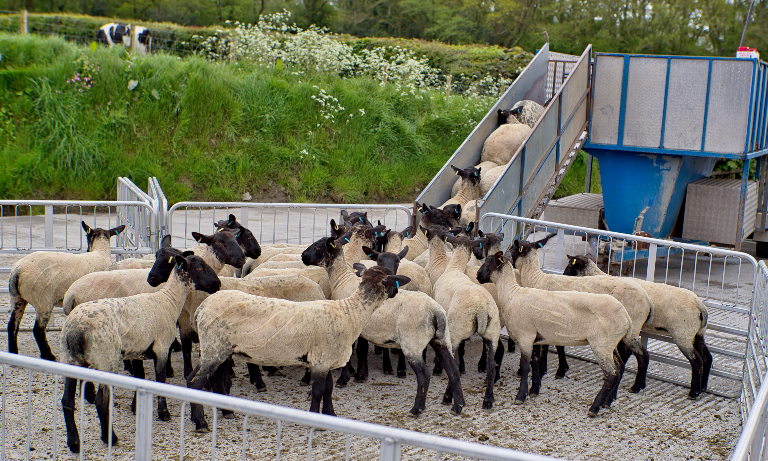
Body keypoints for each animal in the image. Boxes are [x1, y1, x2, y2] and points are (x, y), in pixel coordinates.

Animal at [61, 250, 220, 452]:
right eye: (199, 267)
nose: (218, 284)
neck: (169, 300)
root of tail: (76, 329)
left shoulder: (136, 352)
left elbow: (140, 377)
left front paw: (136, 406)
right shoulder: (161, 348)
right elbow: (160, 379)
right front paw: (163, 412)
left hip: (70, 359)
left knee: (67, 401)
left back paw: (74, 443)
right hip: (105, 359)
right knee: (101, 401)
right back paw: (109, 437)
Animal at [187, 264, 414, 430]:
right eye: (391, 280)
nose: (397, 291)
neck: (350, 314)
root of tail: (201, 308)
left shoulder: (327, 360)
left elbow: (328, 390)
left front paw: (330, 415)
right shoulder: (321, 360)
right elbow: (318, 390)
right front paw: (315, 420)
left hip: (219, 349)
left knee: (206, 378)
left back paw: (225, 412)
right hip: (214, 346)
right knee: (197, 382)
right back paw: (201, 423)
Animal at [428, 234, 500, 406]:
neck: (454, 268)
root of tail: (481, 309)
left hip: (458, 328)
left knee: (453, 365)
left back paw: (448, 397)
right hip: (492, 332)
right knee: (491, 365)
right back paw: (488, 399)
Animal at [560, 253, 712, 398]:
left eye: (570, 264)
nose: (563, 275)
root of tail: (700, 305)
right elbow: (624, 353)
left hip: (682, 333)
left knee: (696, 360)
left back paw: (693, 392)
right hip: (697, 333)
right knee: (707, 357)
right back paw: (703, 387)